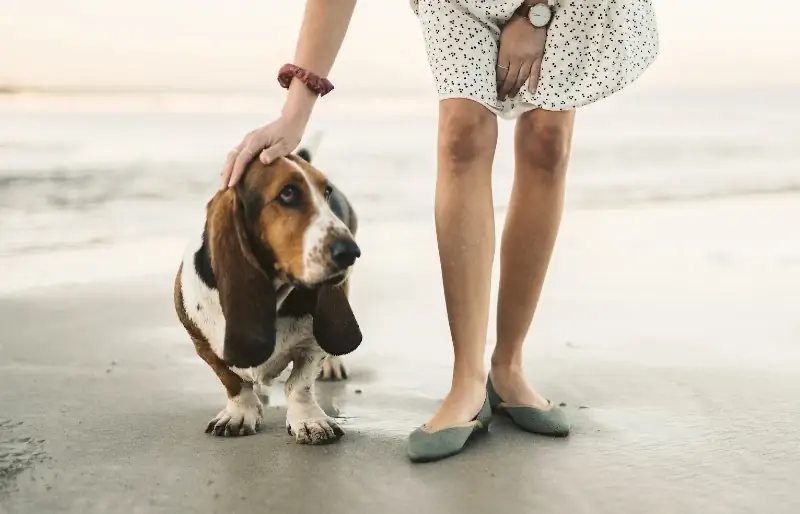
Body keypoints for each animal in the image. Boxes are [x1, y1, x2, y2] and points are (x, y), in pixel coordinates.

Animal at [177, 142, 362, 442]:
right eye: (287, 193)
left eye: (326, 192)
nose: (351, 252)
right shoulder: (201, 341)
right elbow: (231, 380)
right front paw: (239, 414)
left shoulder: (311, 345)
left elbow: (299, 384)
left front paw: (310, 421)